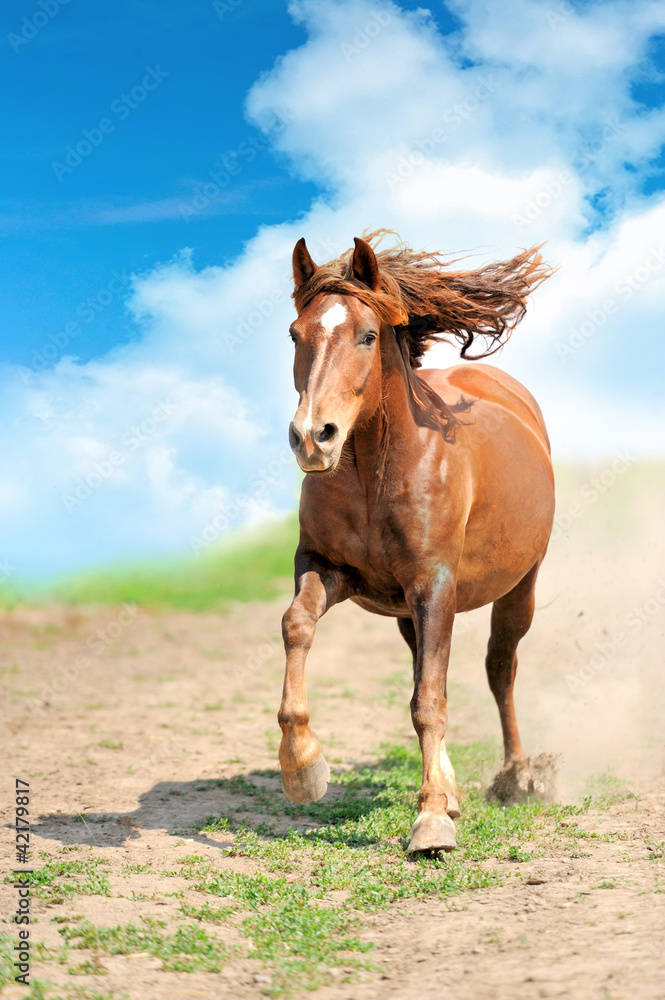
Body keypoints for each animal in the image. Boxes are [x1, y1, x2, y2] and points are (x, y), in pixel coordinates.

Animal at [277, 230, 555, 853]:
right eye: (295, 334)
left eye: (367, 335)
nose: (312, 438)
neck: (375, 471)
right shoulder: (328, 568)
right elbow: (297, 625)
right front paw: (303, 765)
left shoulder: (435, 585)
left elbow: (430, 701)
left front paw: (429, 821)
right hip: (406, 608)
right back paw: (453, 789)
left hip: (518, 586)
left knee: (500, 667)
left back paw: (516, 778)